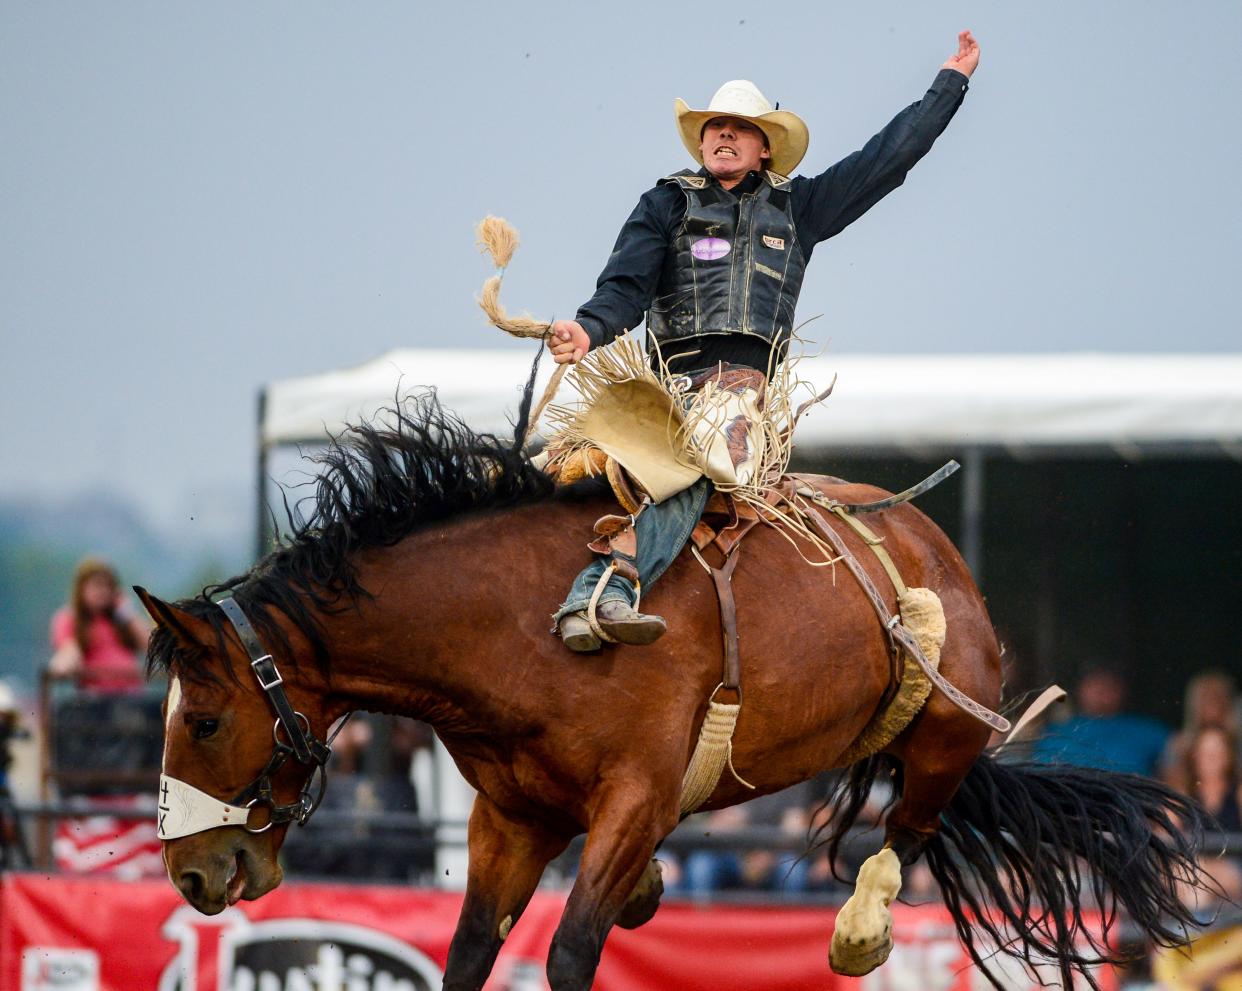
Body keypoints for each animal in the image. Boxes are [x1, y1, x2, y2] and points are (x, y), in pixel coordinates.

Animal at [140, 382, 1207, 991]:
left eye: (205, 719)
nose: (191, 875)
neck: (520, 632)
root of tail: (930, 545)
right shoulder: (510, 818)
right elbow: (472, 950)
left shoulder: (634, 799)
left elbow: (571, 950)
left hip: (948, 721)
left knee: (910, 823)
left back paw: (860, 929)